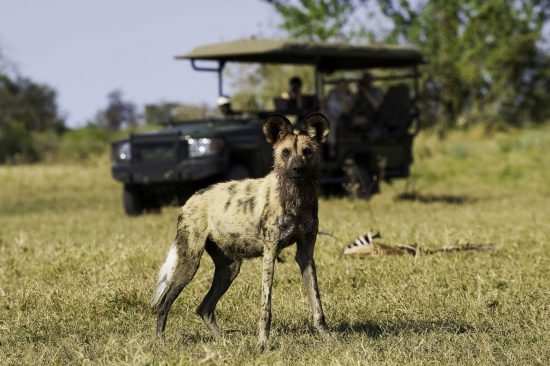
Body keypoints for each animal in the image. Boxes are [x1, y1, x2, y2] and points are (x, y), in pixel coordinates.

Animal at [152, 111, 332, 348]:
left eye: (307, 152)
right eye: (285, 152)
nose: (297, 169)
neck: (297, 198)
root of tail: (190, 199)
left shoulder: (305, 255)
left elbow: (317, 306)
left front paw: (329, 339)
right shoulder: (270, 252)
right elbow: (266, 308)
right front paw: (263, 344)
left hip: (229, 269)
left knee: (204, 308)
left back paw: (224, 344)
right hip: (189, 263)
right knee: (163, 304)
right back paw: (161, 343)